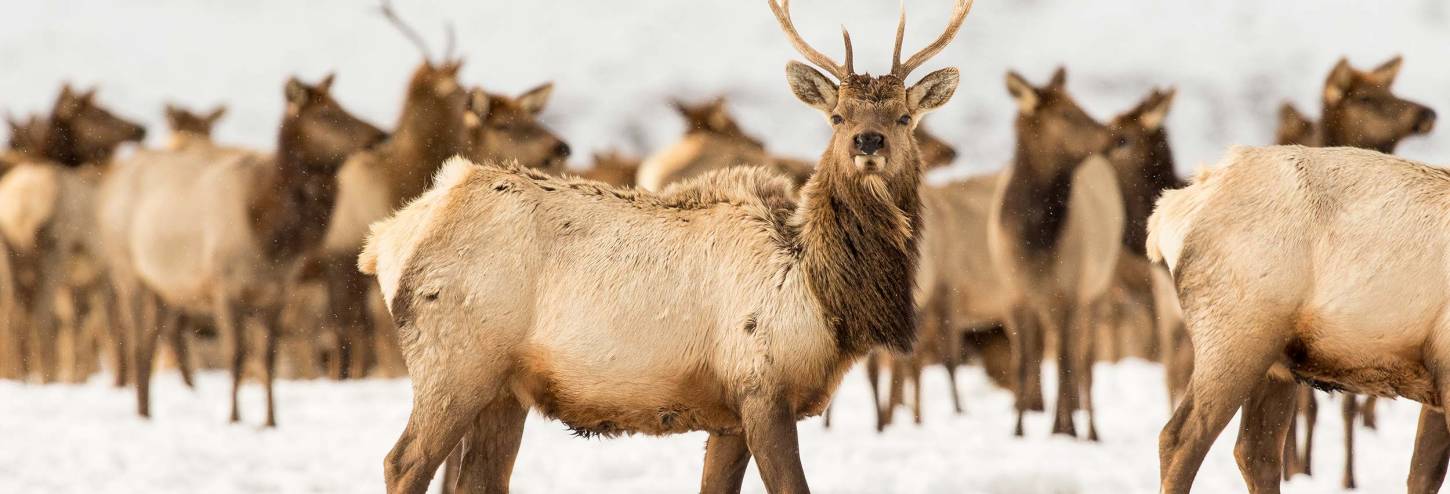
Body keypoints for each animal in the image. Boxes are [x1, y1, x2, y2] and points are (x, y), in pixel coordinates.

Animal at [106, 74, 385, 423]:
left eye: (341, 105)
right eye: (326, 114)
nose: (380, 133)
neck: (271, 238)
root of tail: (114, 178)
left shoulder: (277, 291)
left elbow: (268, 356)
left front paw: (270, 421)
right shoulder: (224, 287)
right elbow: (236, 355)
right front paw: (234, 418)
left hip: (165, 288)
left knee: (152, 341)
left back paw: (147, 411)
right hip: (127, 271)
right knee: (135, 342)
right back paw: (142, 412)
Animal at [991, 66, 1125, 437]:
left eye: (1079, 106)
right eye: (1067, 113)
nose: (1117, 137)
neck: (1034, 239)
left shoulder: (1069, 292)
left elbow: (1066, 363)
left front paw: (1062, 431)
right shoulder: (1014, 294)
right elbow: (1023, 363)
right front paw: (1018, 429)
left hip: (1096, 290)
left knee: (1085, 362)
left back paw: (1089, 430)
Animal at [1270, 53, 1438, 483]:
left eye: (1392, 91)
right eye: (1364, 97)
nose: (1427, 113)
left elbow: (1347, 406)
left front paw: (1348, 478)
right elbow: (1308, 406)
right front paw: (1302, 470)